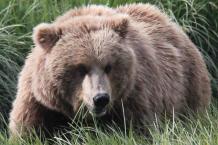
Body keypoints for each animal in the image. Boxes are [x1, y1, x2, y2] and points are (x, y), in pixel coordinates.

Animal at [8, 3, 211, 137]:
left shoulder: (134, 98)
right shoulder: (40, 104)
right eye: (81, 68)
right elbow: (28, 131)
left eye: (108, 66)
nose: (100, 99)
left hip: (188, 88)